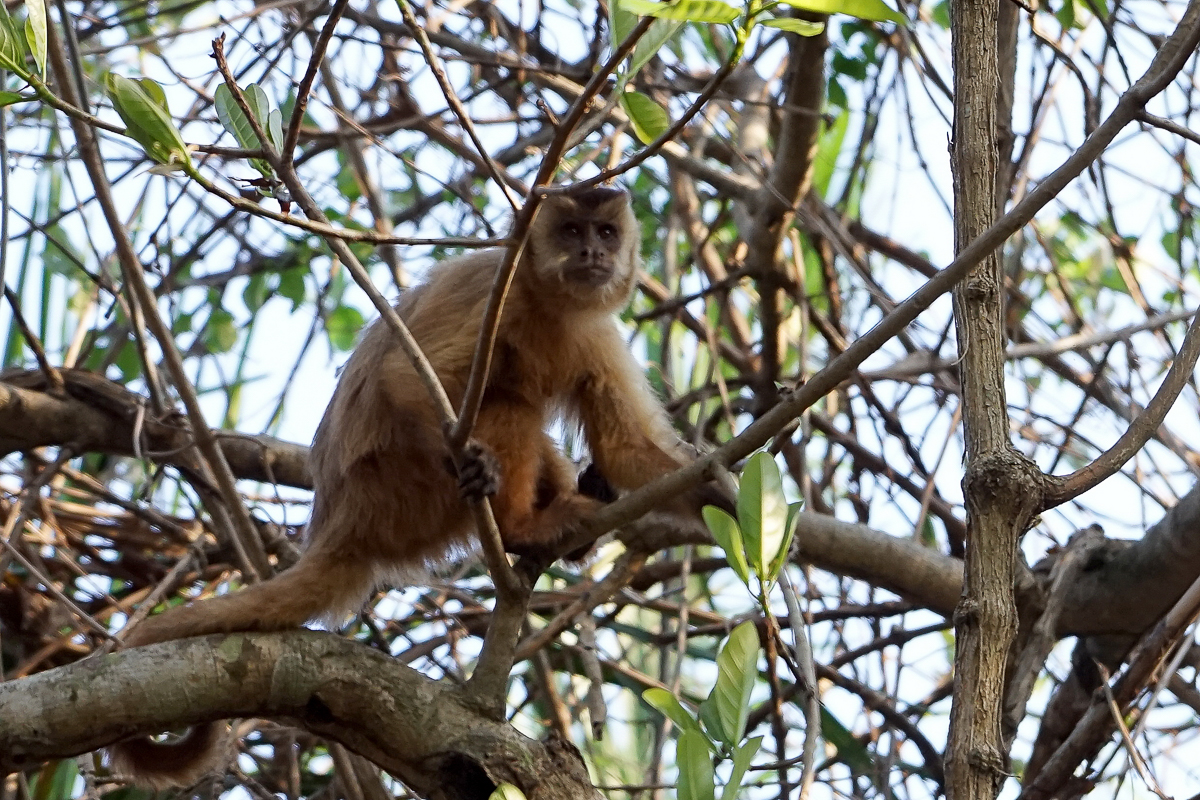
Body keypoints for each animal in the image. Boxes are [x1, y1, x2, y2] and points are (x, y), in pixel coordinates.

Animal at [108, 185, 733, 786]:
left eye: (605, 232)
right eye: (571, 231)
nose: (592, 254)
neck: (550, 305)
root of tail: (338, 521)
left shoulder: (597, 330)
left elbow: (624, 448)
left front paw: (721, 500)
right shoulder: (496, 293)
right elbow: (403, 376)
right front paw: (475, 466)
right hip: (397, 490)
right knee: (504, 404)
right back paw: (521, 527)